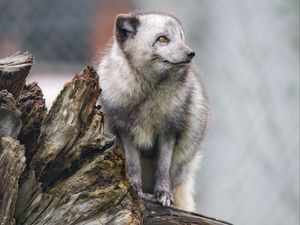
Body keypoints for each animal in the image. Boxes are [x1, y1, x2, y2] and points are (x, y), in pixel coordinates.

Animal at [97, 12, 210, 211]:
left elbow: (163, 167)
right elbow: (133, 165)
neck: (150, 91)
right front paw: (134, 188)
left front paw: (164, 195)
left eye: (181, 38)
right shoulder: (124, 130)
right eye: (162, 39)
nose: (191, 53)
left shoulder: (169, 132)